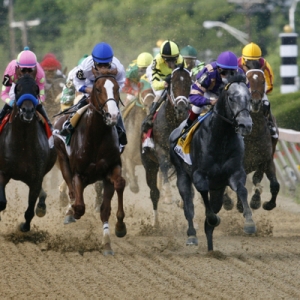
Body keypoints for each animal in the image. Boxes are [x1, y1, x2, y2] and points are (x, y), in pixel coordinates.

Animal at [0, 74, 56, 232]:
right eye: (17, 88)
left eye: (36, 89)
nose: (28, 111)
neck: (22, 143)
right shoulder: (3, 172)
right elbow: (1, 202)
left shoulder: (36, 177)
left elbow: (30, 210)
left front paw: (24, 226)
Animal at [54, 68, 126, 255]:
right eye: (98, 89)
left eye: (117, 88)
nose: (112, 115)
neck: (96, 136)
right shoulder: (79, 173)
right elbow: (79, 205)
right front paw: (73, 212)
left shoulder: (110, 169)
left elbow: (114, 193)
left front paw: (117, 230)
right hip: (63, 159)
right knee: (71, 191)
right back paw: (69, 212)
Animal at [140, 64, 191, 226]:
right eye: (173, 84)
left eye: (189, 84)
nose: (181, 108)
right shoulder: (161, 150)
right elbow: (164, 166)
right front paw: (168, 196)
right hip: (149, 164)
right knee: (154, 192)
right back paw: (155, 223)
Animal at [170, 74, 254, 251]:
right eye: (231, 98)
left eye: (249, 98)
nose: (246, 125)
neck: (221, 137)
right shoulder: (199, 175)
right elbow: (203, 199)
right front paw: (212, 219)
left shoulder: (235, 173)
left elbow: (242, 190)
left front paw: (249, 222)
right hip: (182, 175)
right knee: (189, 207)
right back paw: (192, 235)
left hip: (218, 189)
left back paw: (210, 248)